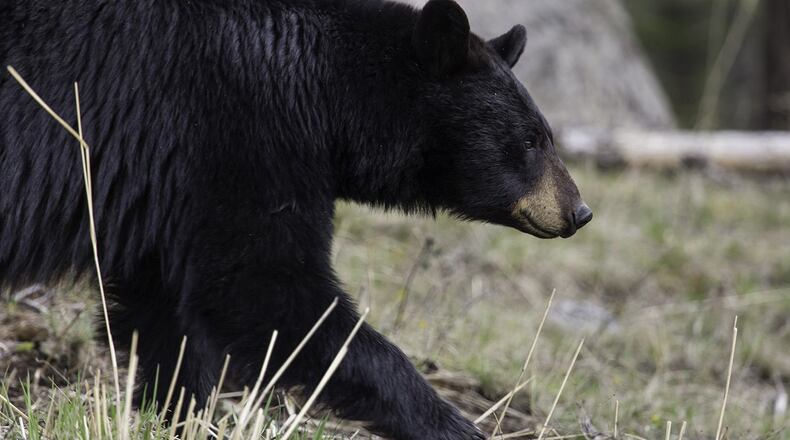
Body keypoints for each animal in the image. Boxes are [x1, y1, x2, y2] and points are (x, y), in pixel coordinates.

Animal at [0, 0, 592, 438]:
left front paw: (179, 413)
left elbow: (167, 312)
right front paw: (451, 424)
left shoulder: (169, 193)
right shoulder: (238, 135)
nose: (579, 211)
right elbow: (267, 289)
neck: (325, 91)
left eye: (545, 135)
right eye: (530, 141)